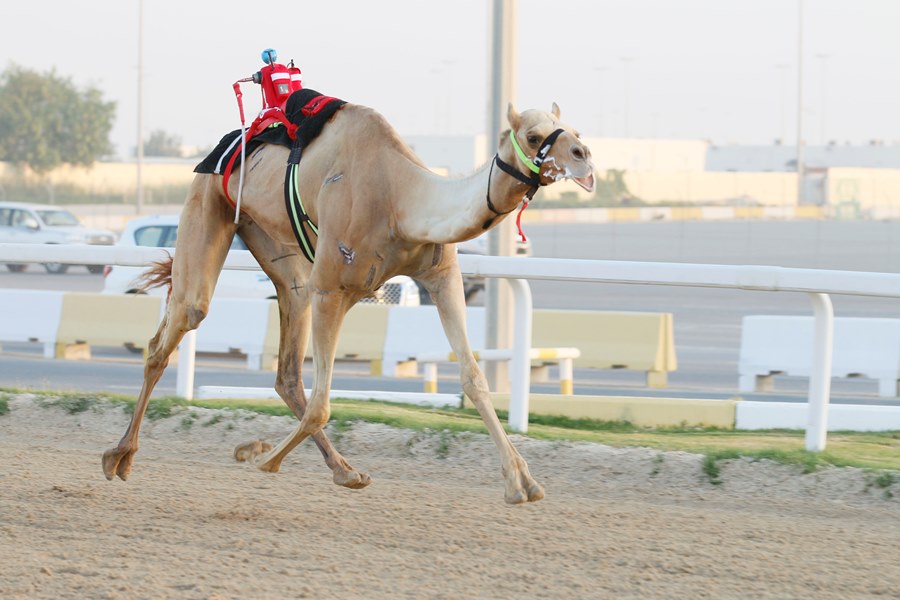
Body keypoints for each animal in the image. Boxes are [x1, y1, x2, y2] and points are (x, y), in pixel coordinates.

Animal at [102, 98, 596, 502]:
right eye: (533, 136)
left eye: (571, 126)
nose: (584, 156)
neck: (402, 199)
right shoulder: (332, 288)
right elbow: (322, 405)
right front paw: (259, 457)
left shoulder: (441, 277)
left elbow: (474, 378)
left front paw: (522, 482)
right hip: (210, 204)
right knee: (177, 325)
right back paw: (119, 456)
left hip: (278, 252)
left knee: (286, 368)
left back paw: (345, 470)